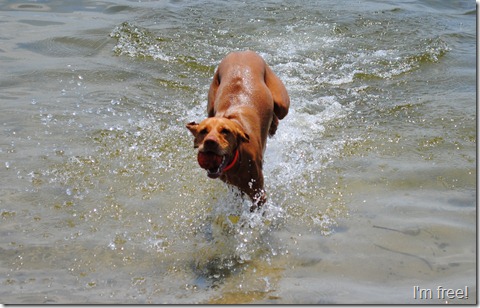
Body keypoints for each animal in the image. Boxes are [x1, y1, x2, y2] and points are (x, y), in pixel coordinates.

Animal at [186, 50, 288, 212]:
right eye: (203, 131)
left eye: (225, 131)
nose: (210, 142)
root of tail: (242, 51)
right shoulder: (234, 188)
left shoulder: (258, 193)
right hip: (211, 104)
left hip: (282, 102)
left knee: (278, 113)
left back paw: (273, 127)